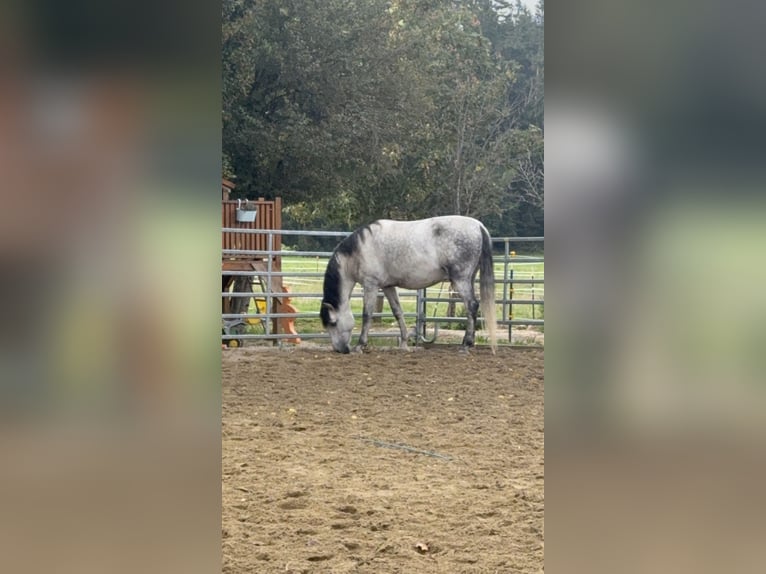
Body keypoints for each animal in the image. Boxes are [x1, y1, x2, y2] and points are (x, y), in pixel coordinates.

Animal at [320, 215, 497, 354]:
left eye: (333, 323)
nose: (340, 349)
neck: (358, 252)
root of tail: (478, 225)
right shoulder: (388, 286)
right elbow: (398, 312)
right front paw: (404, 343)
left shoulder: (371, 285)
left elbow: (367, 314)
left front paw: (360, 345)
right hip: (468, 279)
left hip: (461, 280)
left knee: (472, 306)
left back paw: (466, 345)